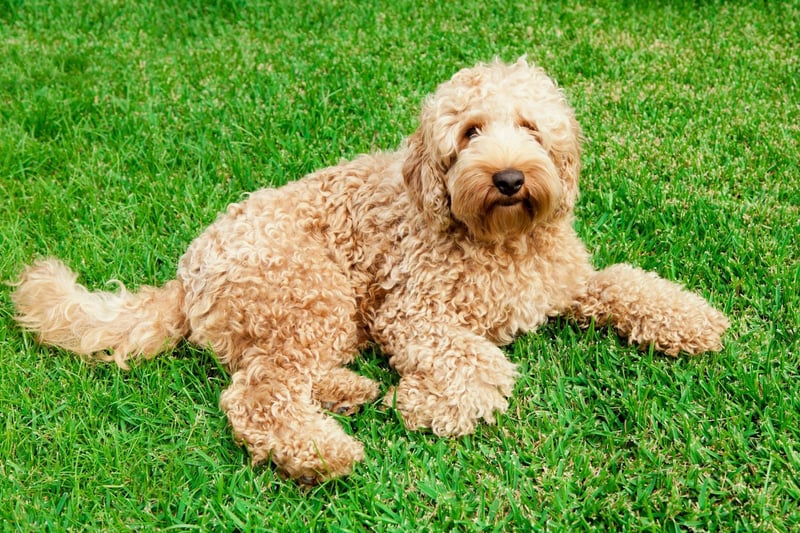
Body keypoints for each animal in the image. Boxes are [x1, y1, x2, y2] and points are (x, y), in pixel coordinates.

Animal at [10, 58, 732, 482]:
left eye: (530, 126)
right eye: (470, 131)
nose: (508, 177)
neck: (499, 240)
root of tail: (187, 273)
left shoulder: (565, 281)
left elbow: (626, 281)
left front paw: (692, 317)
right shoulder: (411, 312)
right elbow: (482, 363)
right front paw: (428, 402)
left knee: (273, 374)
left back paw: (351, 391)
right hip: (311, 291)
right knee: (257, 395)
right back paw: (324, 451)